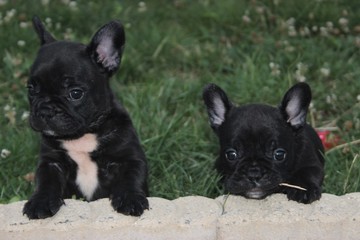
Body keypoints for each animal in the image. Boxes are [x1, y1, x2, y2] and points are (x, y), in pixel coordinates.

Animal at [22, 17, 149, 219]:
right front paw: (40, 202)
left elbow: (131, 178)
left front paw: (130, 199)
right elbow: (46, 181)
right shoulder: (51, 162)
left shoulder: (130, 158)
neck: (81, 136)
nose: (46, 110)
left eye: (75, 93)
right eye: (31, 89)